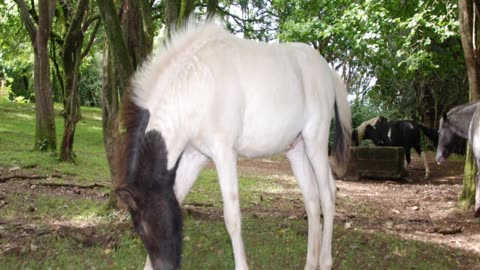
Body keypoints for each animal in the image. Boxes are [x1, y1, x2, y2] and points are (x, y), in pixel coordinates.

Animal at [114, 21, 350, 270]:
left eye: (141, 228)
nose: (165, 265)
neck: (196, 86)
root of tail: (327, 71)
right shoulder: (195, 157)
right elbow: (178, 195)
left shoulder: (224, 153)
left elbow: (232, 217)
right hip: (297, 150)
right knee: (312, 200)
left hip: (316, 143)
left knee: (328, 194)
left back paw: (325, 261)